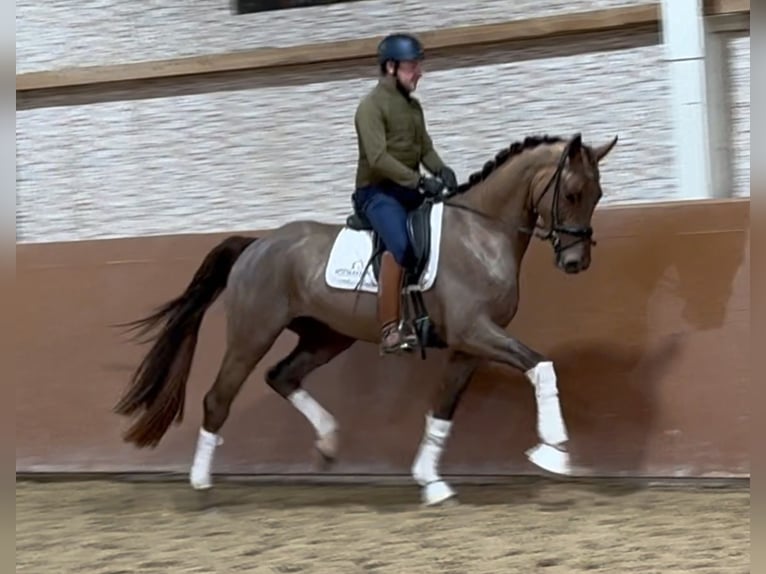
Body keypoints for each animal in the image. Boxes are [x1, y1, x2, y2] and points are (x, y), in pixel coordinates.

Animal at [112, 132, 616, 508]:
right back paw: (201, 484)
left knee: (282, 376)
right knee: (219, 398)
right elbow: (541, 365)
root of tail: (256, 244)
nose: (575, 262)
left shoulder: (468, 344)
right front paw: (554, 451)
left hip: (327, 337)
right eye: (572, 193)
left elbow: (443, 408)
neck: (481, 232)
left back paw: (329, 442)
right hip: (252, 333)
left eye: (597, 195)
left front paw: (431, 481)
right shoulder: (475, 332)